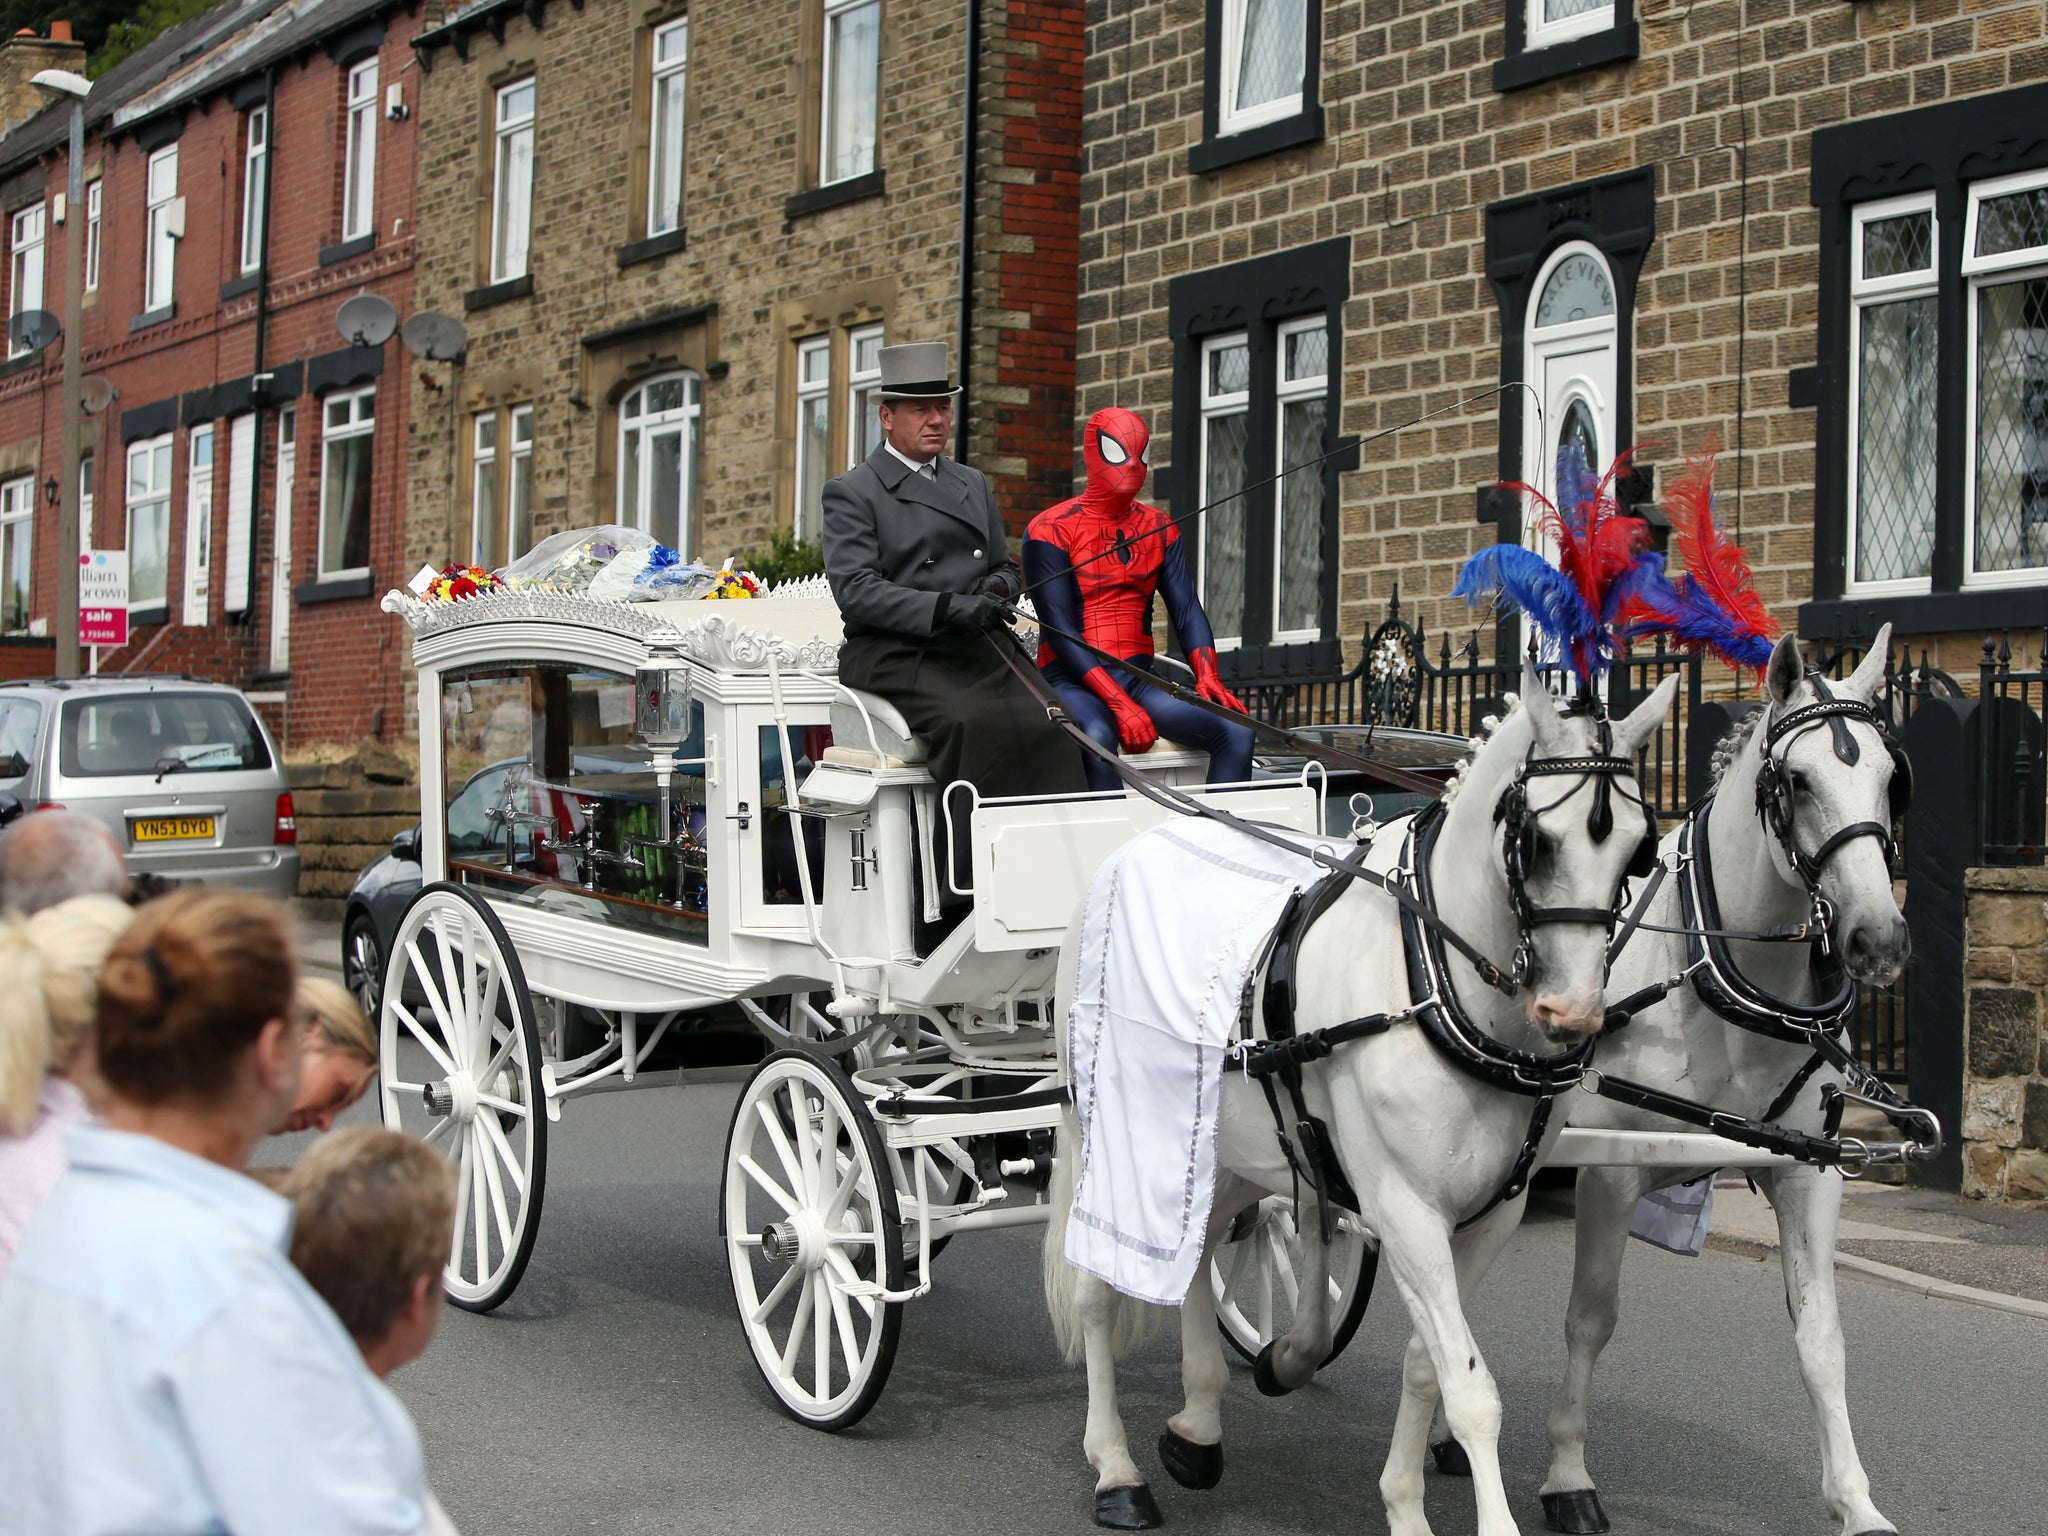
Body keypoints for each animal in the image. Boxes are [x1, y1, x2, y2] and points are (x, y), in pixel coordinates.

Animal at [1048, 663, 1671, 1536]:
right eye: (1536, 841)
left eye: (1637, 847)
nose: (1573, 1013)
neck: (1434, 980)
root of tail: (1127, 852)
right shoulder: (1403, 1206)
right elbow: (1471, 1392)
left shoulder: (1488, 1214)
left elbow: (1429, 1363)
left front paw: (1402, 1503)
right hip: (1101, 1133)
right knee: (1094, 1290)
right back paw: (1115, 1467)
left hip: (1219, 1145)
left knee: (1198, 1251)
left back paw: (1200, 1421)